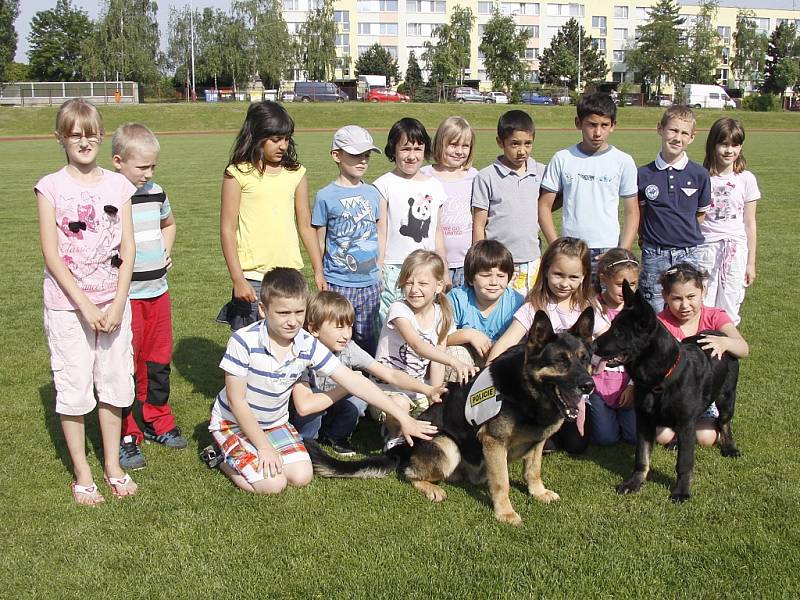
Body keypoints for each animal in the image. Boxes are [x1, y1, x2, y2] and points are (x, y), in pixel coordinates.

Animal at [306, 310, 592, 524]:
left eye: (585, 359)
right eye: (561, 361)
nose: (589, 386)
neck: (526, 391)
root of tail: (404, 447)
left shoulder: (537, 442)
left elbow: (533, 471)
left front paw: (538, 493)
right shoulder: (493, 442)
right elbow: (502, 483)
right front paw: (506, 513)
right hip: (447, 445)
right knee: (410, 473)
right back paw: (432, 488)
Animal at [592, 282, 744, 502]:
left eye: (619, 332)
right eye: (612, 327)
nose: (592, 344)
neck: (660, 380)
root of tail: (721, 336)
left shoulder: (686, 423)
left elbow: (685, 462)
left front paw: (682, 490)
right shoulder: (644, 421)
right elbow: (642, 458)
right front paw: (634, 483)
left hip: (726, 398)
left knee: (723, 423)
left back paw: (729, 447)